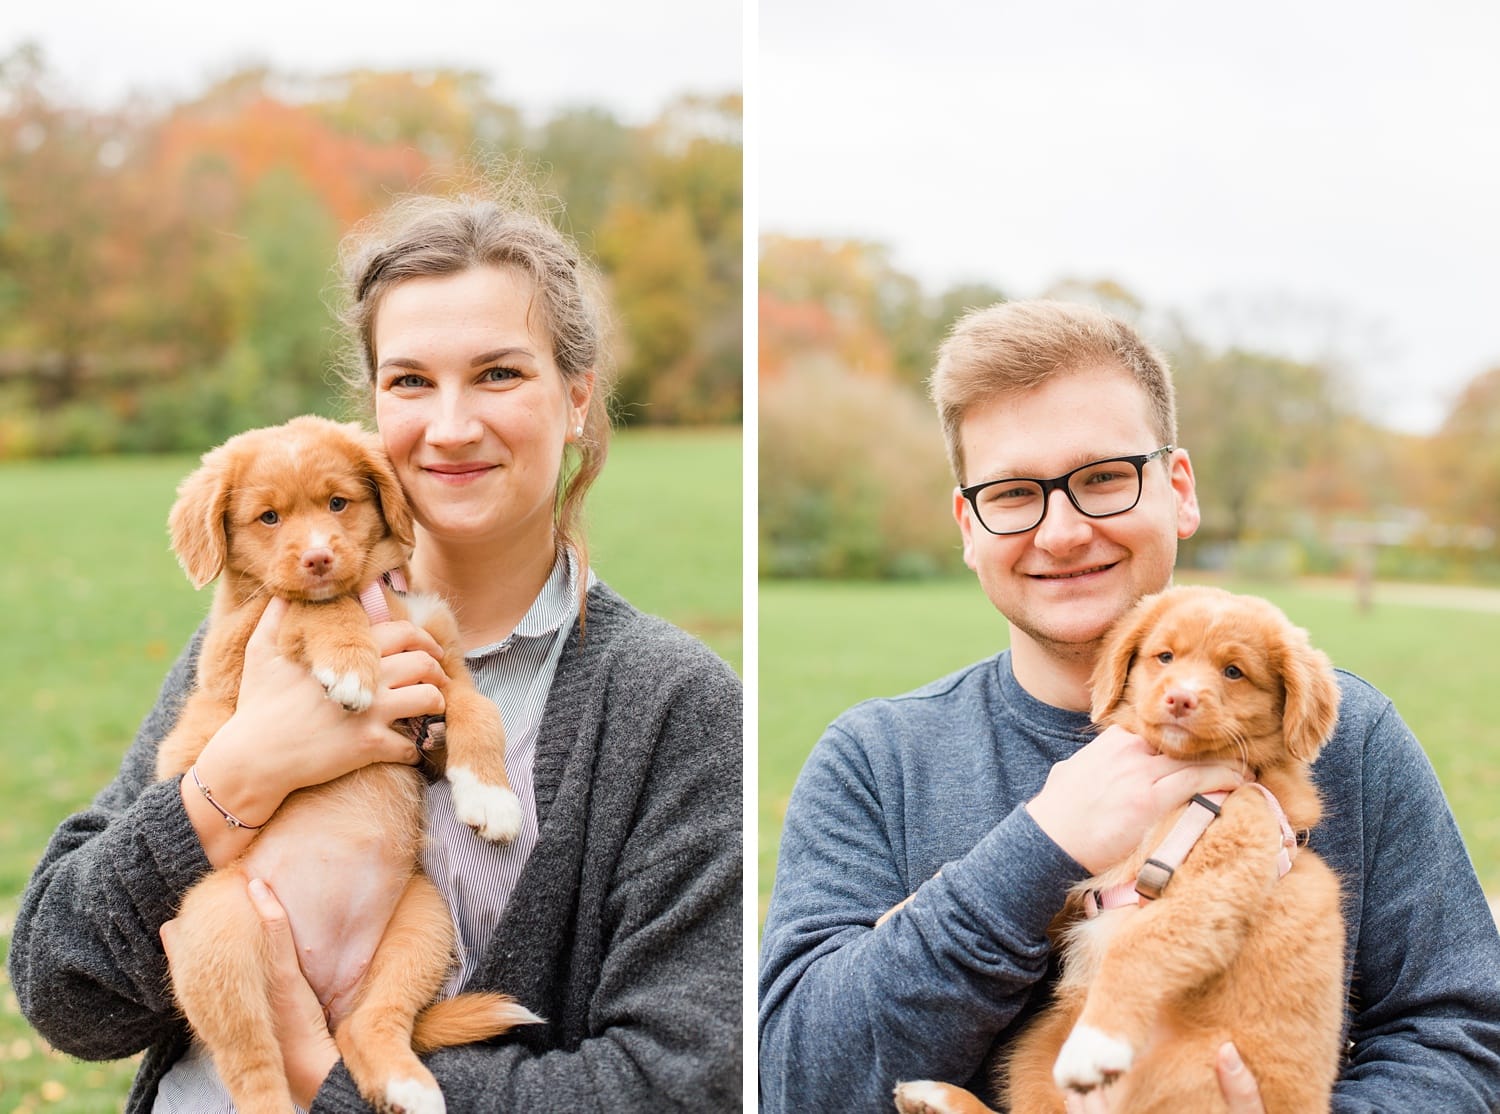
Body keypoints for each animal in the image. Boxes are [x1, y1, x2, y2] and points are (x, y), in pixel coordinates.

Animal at [152, 416, 537, 1114]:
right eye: (268, 517)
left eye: (338, 503)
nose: (318, 559)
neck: (371, 595)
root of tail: (327, 994)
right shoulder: (240, 641)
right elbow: (314, 607)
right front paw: (352, 665)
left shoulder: (435, 679)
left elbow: (479, 710)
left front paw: (490, 796)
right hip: (219, 928)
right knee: (251, 1062)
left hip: (424, 921)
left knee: (370, 1023)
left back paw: (408, 1082)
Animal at [900, 587, 1350, 1109]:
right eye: (1165, 657)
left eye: (1234, 672)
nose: (1180, 698)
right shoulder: (1089, 872)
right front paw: (901, 911)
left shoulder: (1216, 879)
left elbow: (1137, 945)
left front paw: (1094, 1045)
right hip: (1033, 1050)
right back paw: (931, 1097)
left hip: (1190, 1071)